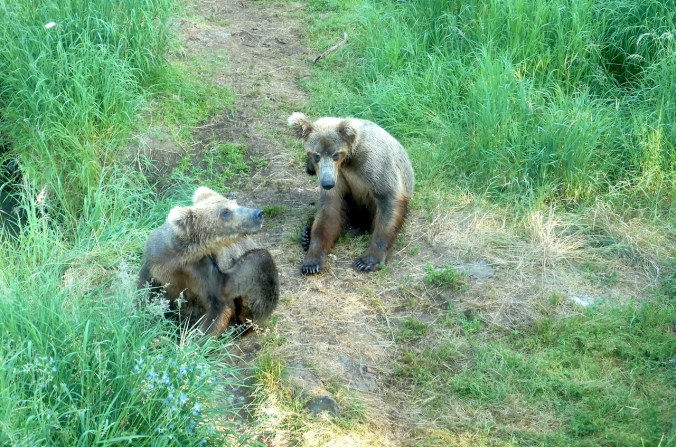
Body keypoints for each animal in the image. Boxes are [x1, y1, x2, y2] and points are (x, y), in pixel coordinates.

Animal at [137, 186, 279, 336]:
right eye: (225, 212)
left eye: (235, 203)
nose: (258, 213)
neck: (182, 255)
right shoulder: (154, 261)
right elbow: (144, 293)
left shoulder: (203, 271)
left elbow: (217, 307)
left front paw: (195, 337)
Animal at [288, 112, 414, 274]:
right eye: (316, 155)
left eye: (335, 154)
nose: (327, 183)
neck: (349, 159)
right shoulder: (339, 177)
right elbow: (329, 210)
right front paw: (311, 261)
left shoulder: (374, 165)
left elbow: (388, 201)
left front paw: (367, 261)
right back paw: (305, 235)